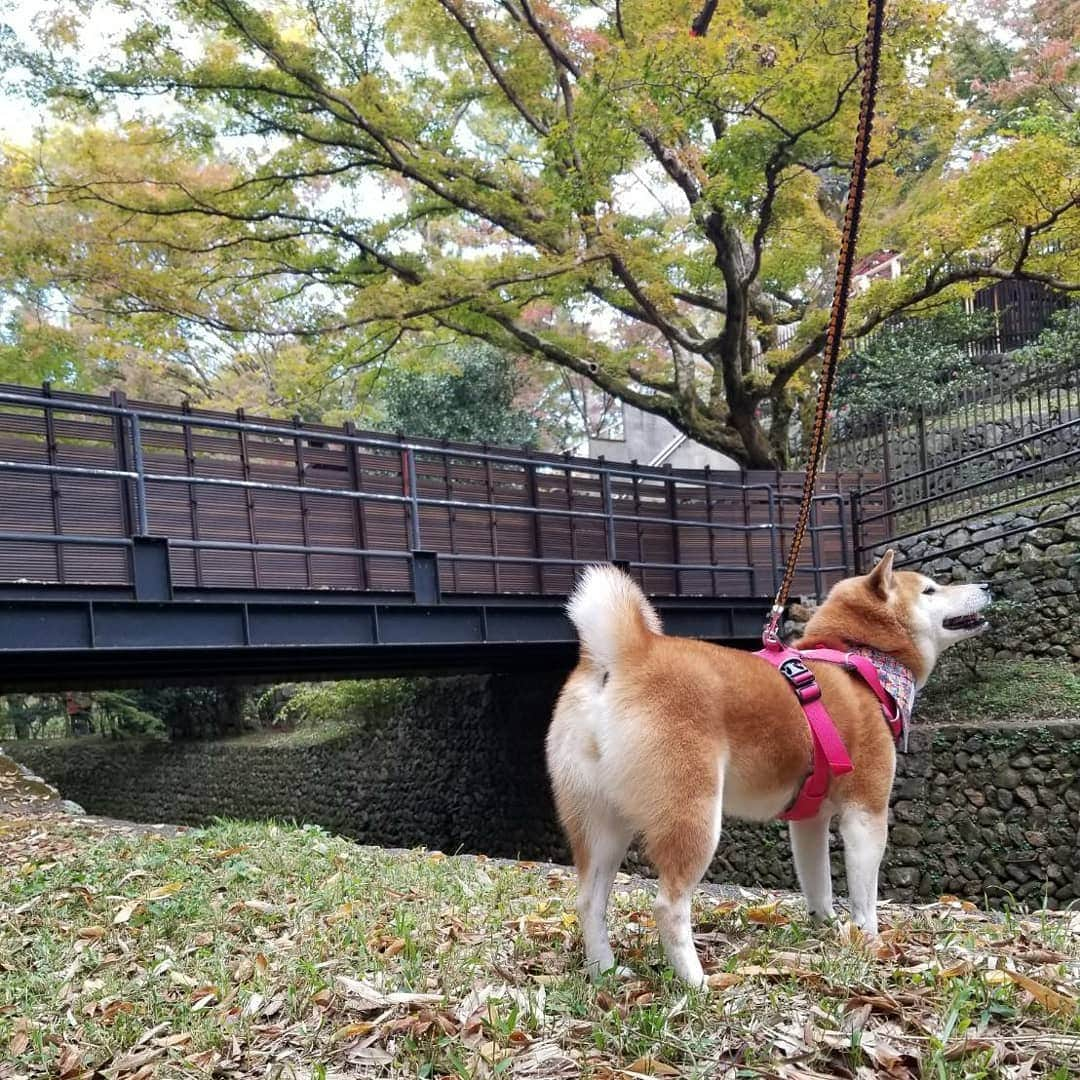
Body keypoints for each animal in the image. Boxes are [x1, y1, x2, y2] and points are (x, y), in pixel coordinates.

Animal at [544, 557, 989, 989]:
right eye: (930, 590)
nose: (985, 586)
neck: (862, 661)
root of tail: (627, 653)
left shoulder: (809, 819)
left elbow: (818, 882)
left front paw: (825, 926)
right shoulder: (866, 810)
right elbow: (864, 896)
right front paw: (869, 941)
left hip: (602, 824)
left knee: (589, 901)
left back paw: (604, 971)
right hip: (694, 817)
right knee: (668, 907)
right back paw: (696, 982)